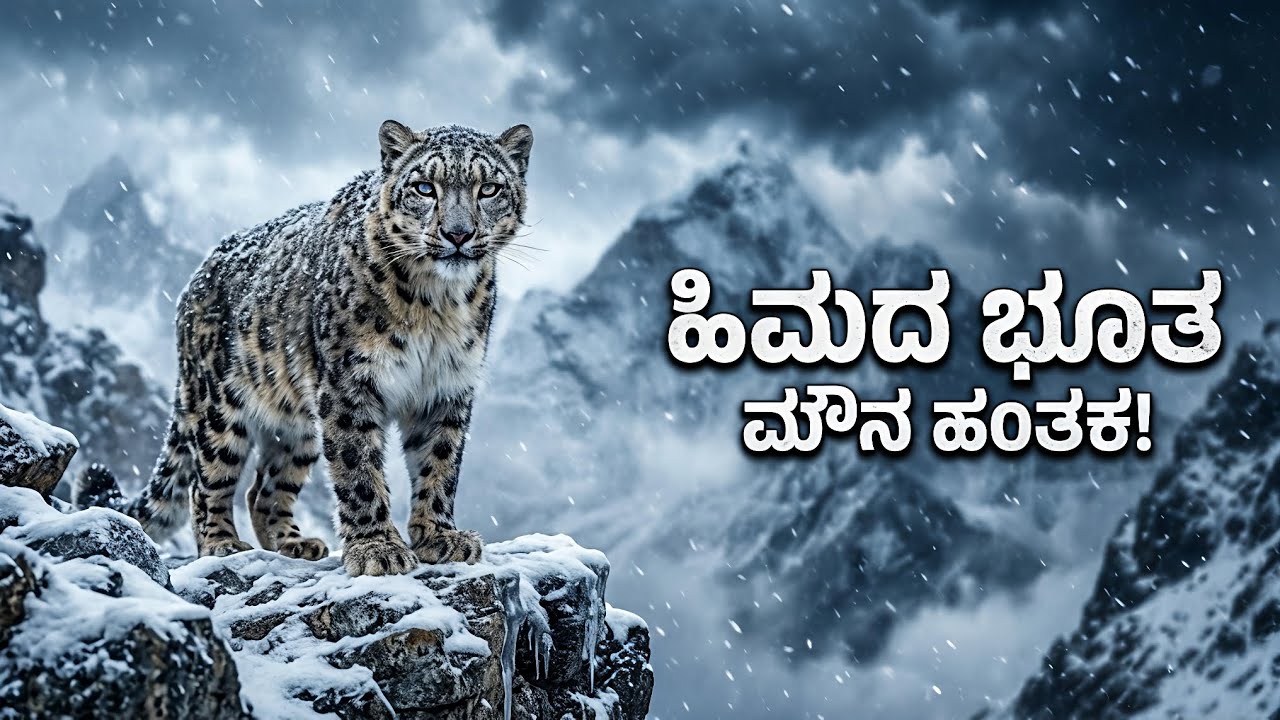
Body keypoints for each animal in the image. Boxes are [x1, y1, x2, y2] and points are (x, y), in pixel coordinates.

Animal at [75, 120, 533, 576]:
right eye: (424, 187)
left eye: (489, 188)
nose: (458, 234)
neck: (437, 305)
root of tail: (195, 280)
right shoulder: (350, 382)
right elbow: (358, 467)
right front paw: (377, 548)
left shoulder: (447, 386)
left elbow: (439, 463)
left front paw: (440, 537)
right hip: (218, 403)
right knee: (208, 481)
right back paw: (222, 543)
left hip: (298, 422)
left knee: (264, 487)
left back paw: (294, 544)